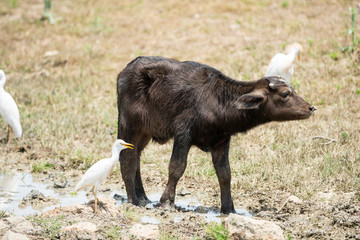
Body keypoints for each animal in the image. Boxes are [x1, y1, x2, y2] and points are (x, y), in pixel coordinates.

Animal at [116, 55, 314, 214]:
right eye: (285, 93)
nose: (310, 107)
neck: (216, 100)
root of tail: (124, 73)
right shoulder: (183, 132)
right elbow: (177, 167)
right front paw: (166, 203)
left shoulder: (222, 140)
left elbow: (225, 174)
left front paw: (229, 209)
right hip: (128, 125)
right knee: (127, 158)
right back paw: (133, 200)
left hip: (144, 132)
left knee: (136, 156)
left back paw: (143, 196)